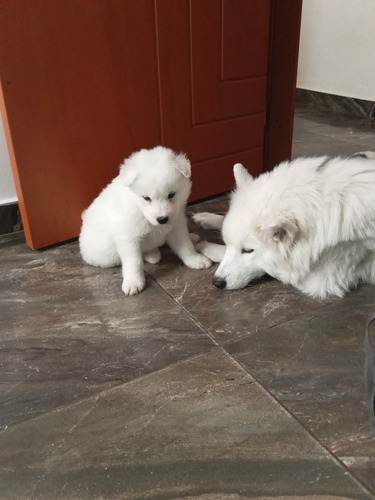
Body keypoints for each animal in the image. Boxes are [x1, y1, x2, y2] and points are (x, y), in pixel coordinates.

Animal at [80, 145, 212, 294]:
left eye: (171, 195)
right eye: (146, 198)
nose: (162, 219)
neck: (141, 212)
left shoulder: (177, 226)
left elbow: (185, 246)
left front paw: (196, 260)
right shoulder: (128, 238)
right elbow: (134, 261)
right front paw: (133, 282)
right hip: (106, 257)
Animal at [195, 150, 375, 298]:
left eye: (248, 250)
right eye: (227, 242)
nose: (217, 282)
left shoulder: (318, 280)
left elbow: (273, 269)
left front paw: (206, 247)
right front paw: (207, 219)